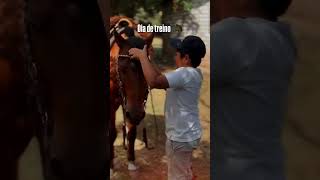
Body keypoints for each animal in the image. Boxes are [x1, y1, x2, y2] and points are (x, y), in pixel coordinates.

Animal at [110, 16, 154, 173]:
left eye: (147, 69)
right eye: (122, 69)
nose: (135, 115)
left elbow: (132, 132)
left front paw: (131, 161)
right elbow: (112, 133)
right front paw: (110, 165)